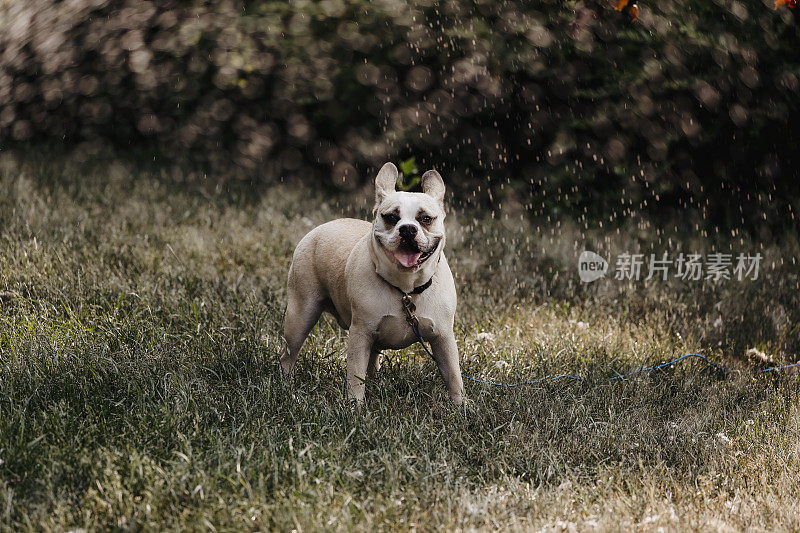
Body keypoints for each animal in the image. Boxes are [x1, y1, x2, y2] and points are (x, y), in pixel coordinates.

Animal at [282, 162, 466, 404]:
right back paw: (285, 386)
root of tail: (321, 227)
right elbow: (355, 376)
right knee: (289, 353)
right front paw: (356, 407)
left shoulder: (444, 338)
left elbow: (453, 375)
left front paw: (460, 406)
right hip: (301, 315)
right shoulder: (360, 335)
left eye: (426, 219)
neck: (406, 288)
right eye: (391, 217)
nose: (408, 228)